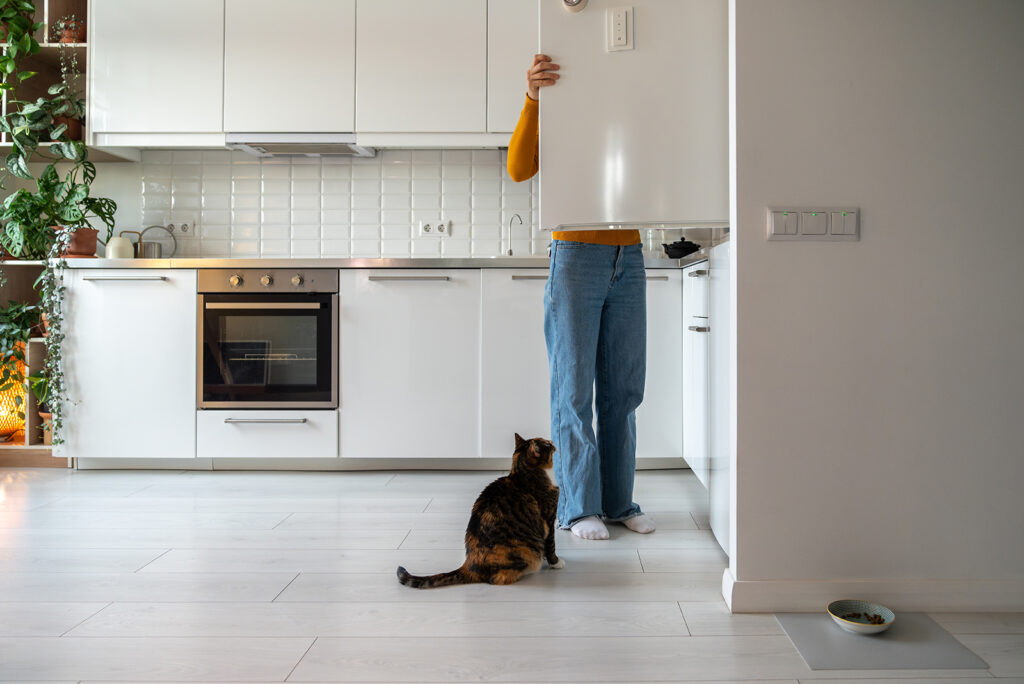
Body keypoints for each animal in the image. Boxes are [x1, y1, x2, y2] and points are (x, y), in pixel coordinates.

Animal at [395, 432, 565, 589]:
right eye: (546, 444)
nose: (552, 440)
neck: (523, 473)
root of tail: (470, 565)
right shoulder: (549, 519)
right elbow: (551, 544)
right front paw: (556, 563)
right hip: (525, 553)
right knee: (497, 579)